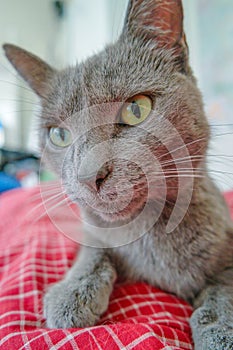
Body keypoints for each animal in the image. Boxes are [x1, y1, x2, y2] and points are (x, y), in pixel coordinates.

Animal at [3, 0, 233, 348]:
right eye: (59, 135)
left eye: (136, 108)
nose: (88, 176)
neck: (147, 237)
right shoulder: (93, 231)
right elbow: (92, 250)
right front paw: (71, 292)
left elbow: (225, 287)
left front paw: (220, 328)